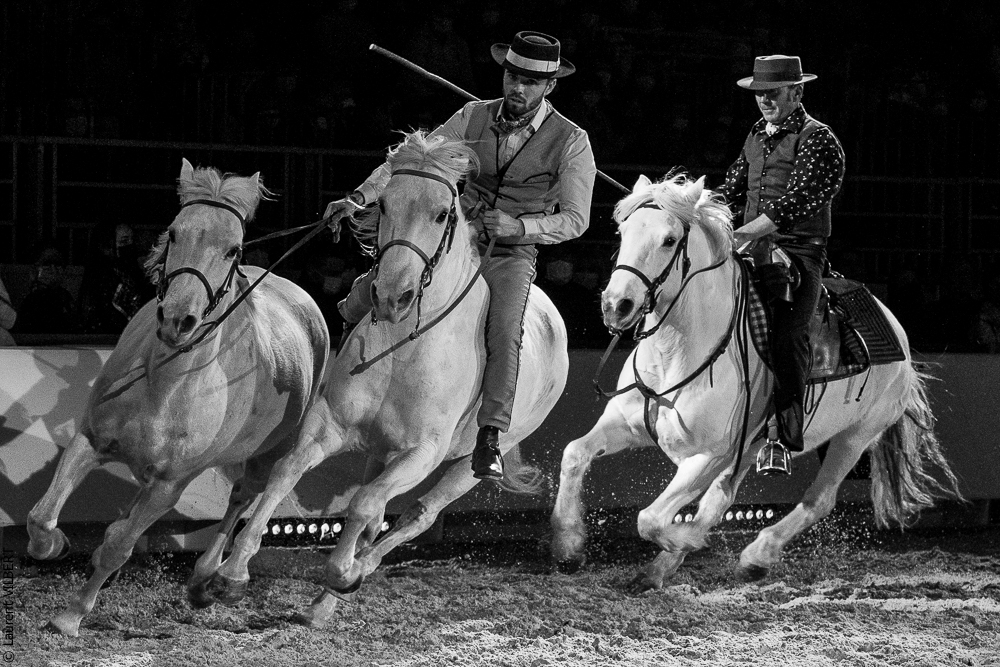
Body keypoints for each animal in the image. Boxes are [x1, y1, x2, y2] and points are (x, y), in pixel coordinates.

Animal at [26, 159, 330, 636]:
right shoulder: (91, 440)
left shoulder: (169, 485)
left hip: (270, 452)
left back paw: (217, 580)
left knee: (247, 496)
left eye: (234, 250)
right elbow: (42, 517)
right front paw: (55, 544)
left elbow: (118, 548)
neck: (164, 383)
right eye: (173, 232)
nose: (177, 320)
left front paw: (70, 616)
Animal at [202, 130, 569, 626]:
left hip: (469, 463)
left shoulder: (421, 453)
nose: (393, 296)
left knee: (417, 514)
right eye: (387, 203)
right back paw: (321, 605)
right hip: (380, 449)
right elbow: (286, 474)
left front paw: (344, 572)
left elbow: (364, 503)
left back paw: (349, 578)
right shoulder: (328, 426)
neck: (404, 346)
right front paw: (232, 573)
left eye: (442, 213)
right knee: (375, 514)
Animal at [550, 174, 963, 592]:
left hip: (854, 438)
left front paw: (686, 540)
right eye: (623, 232)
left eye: (669, 239)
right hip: (753, 448)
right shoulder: (627, 425)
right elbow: (574, 454)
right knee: (721, 499)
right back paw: (659, 570)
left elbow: (649, 518)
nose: (616, 305)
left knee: (818, 500)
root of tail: (899, 334)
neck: (678, 351)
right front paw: (569, 546)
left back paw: (755, 557)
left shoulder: (708, 455)